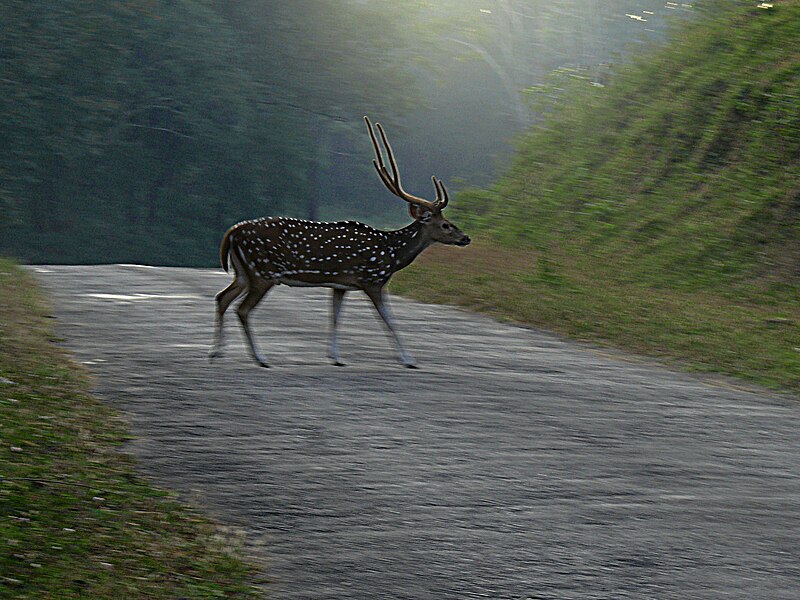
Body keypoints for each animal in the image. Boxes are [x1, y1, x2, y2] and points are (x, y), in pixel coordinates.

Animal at [209, 118, 472, 368]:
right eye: (446, 224)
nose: (465, 238)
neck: (392, 253)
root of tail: (232, 232)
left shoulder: (340, 284)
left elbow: (334, 317)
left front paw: (335, 357)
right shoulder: (372, 280)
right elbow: (389, 320)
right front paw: (409, 360)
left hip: (244, 272)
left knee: (222, 298)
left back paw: (216, 352)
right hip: (263, 272)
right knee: (242, 309)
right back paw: (260, 358)